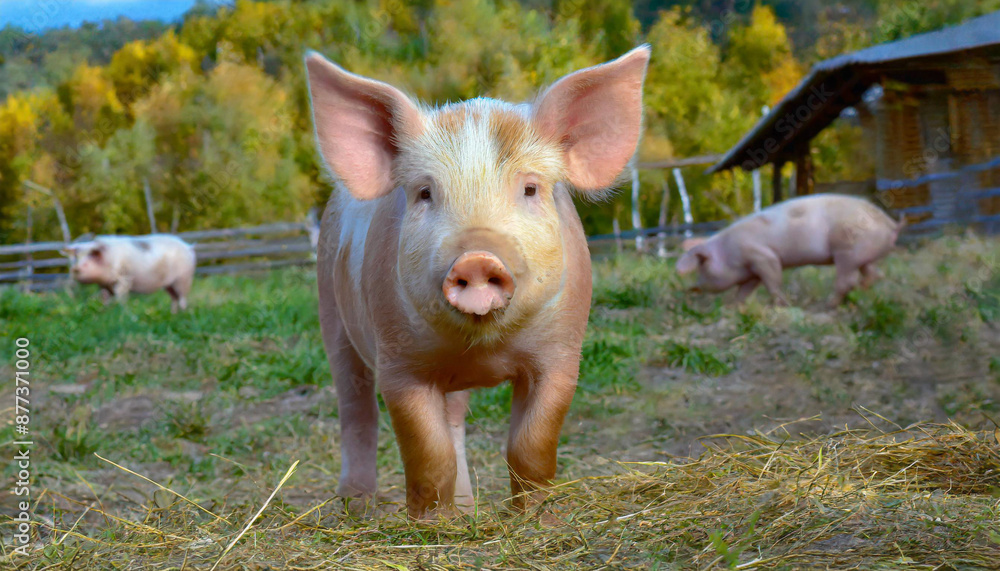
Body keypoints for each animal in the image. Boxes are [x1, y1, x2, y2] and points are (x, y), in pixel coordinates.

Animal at [62, 235, 196, 313]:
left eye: (93, 256)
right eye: (77, 256)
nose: (75, 268)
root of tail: (188, 247)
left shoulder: (123, 279)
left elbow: (121, 297)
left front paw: (123, 312)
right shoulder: (104, 285)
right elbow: (105, 299)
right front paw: (105, 312)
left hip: (183, 279)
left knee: (183, 299)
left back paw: (183, 314)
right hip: (169, 284)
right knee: (174, 298)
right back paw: (173, 314)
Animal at [305, 46, 650, 518]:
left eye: (530, 188)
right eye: (425, 193)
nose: (477, 257)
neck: (483, 350)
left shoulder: (562, 354)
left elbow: (531, 444)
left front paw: (535, 518)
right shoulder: (399, 363)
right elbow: (428, 453)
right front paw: (431, 525)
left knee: (453, 421)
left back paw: (467, 511)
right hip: (331, 315)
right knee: (356, 409)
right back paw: (357, 508)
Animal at [676, 194, 903, 306]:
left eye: (702, 266)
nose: (692, 288)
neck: (729, 251)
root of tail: (891, 223)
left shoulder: (763, 257)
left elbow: (773, 282)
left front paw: (783, 305)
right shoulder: (752, 271)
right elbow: (745, 290)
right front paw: (735, 307)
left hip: (846, 250)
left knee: (847, 280)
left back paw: (828, 305)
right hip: (862, 255)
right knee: (875, 274)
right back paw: (860, 291)